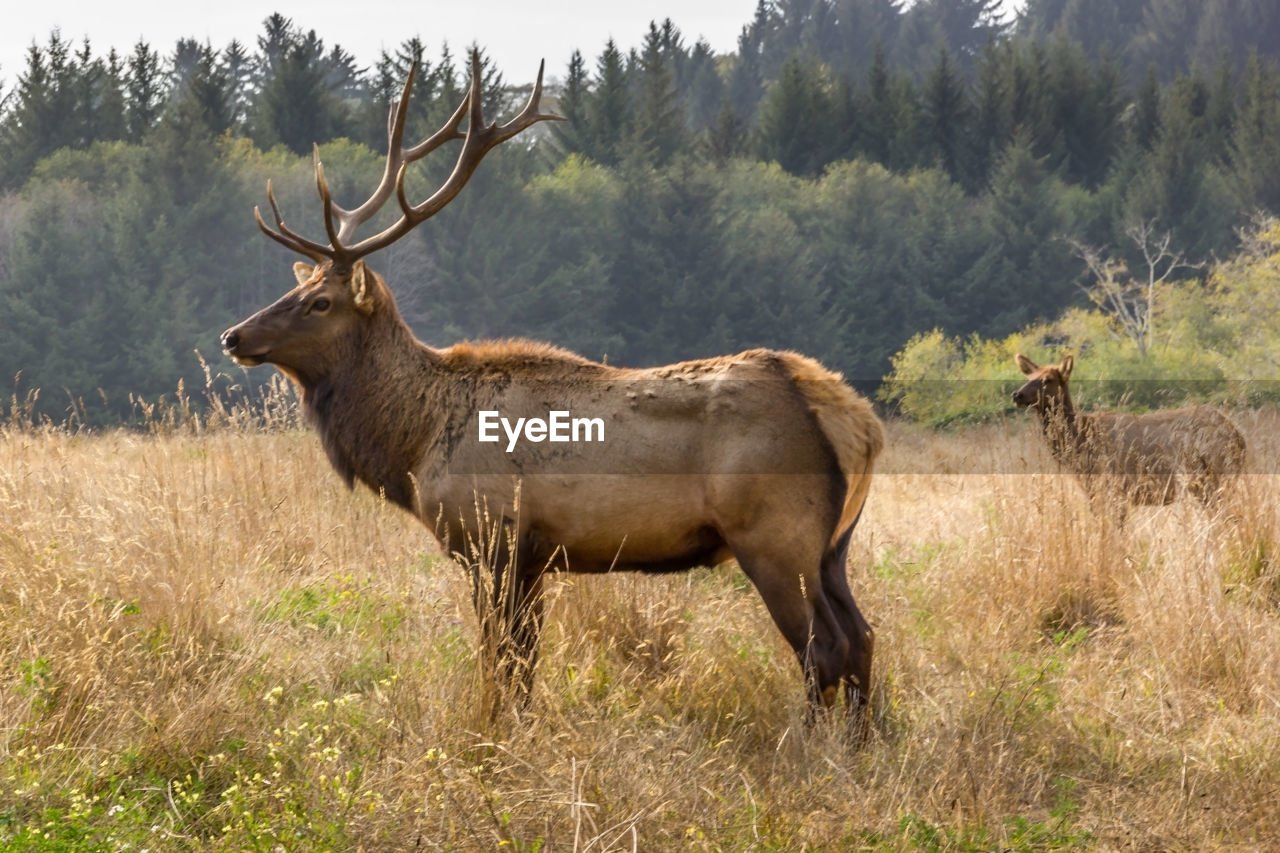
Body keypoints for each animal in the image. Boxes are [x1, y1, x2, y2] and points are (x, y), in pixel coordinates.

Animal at [222, 53, 880, 727]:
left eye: (320, 302)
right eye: (295, 289)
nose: (233, 336)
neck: (413, 444)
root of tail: (859, 422)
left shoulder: (494, 538)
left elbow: (502, 659)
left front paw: (492, 731)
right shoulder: (536, 558)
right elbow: (523, 663)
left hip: (775, 536)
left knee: (822, 647)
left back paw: (810, 742)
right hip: (833, 546)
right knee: (862, 637)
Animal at [1008, 350, 1239, 512]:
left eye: (1048, 380)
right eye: (1028, 377)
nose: (1017, 394)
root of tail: (1238, 436)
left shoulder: (1113, 488)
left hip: (1207, 478)